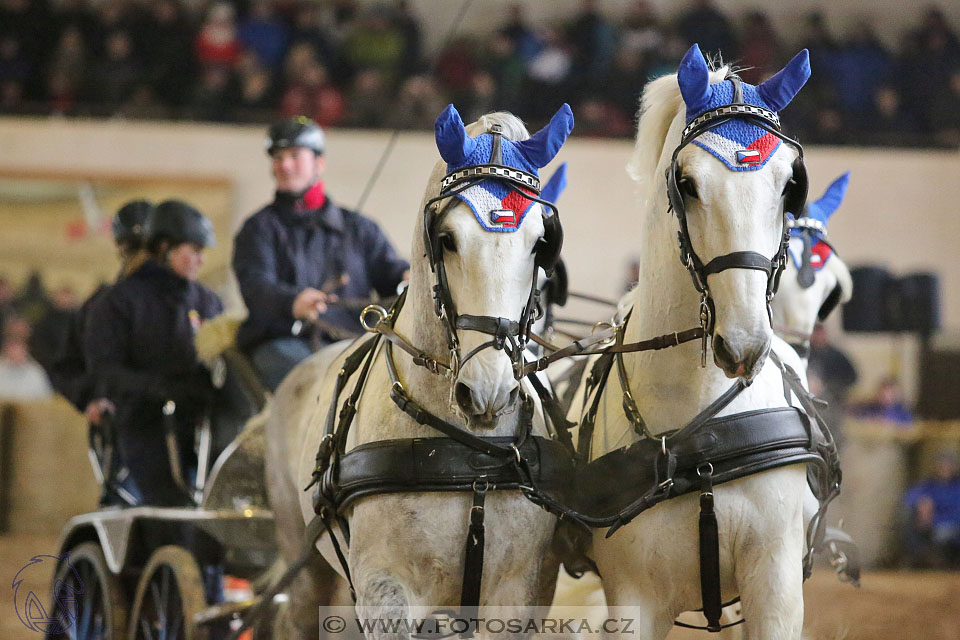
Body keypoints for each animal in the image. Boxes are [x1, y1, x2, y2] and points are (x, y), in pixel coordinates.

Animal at [266, 104, 572, 636]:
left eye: (540, 243)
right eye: (446, 238)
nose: (488, 391)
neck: (469, 459)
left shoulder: (516, 594)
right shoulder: (384, 592)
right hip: (303, 565)